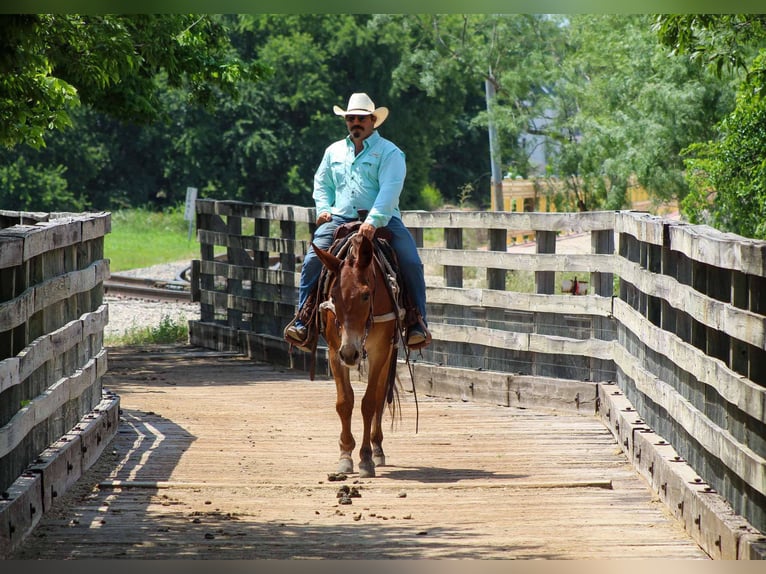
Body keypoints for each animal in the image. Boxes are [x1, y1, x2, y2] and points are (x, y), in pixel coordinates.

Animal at [312, 232, 401, 478]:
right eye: (333, 296)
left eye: (365, 295)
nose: (351, 354)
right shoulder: (336, 351)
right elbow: (344, 402)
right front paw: (345, 456)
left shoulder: (380, 351)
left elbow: (369, 402)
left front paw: (366, 458)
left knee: (380, 395)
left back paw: (377, 448)